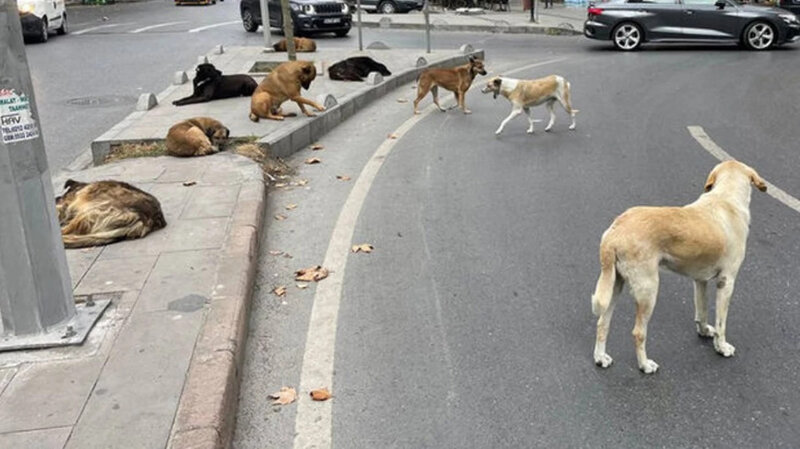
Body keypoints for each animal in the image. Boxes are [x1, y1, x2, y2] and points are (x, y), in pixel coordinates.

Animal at [592, 159, 768, 372]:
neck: (726, 198)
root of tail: (615, 231)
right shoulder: (727, 282)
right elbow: (721, 323)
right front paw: (722, 347)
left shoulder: (700, 281)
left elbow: (701, 311)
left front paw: (704, 331)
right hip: (648, 290)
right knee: (638, 333)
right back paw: (645, 365)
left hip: (614, 285)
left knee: (602, 323)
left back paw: (600, 358)